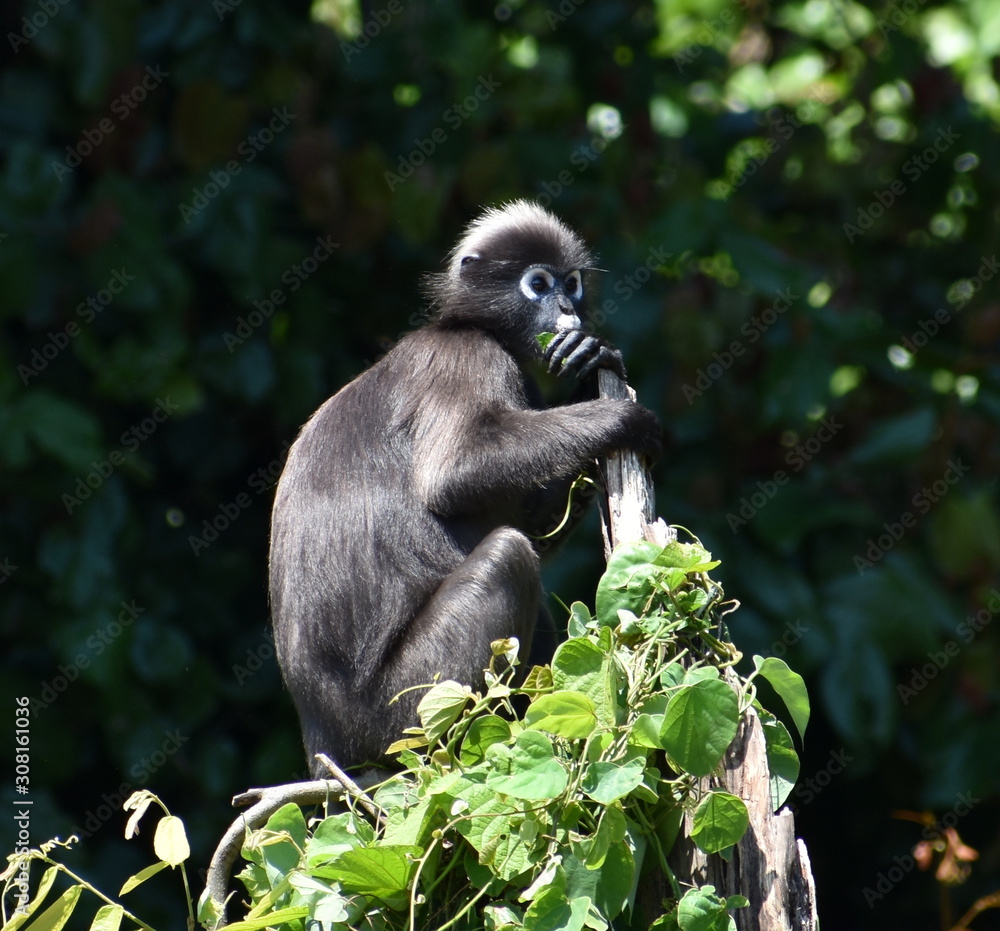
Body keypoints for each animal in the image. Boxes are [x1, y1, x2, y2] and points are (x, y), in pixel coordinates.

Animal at [269, 200, 661, 773]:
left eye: (571, 283)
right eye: (538, 284)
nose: (568, 309)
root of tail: (325, 745)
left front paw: (591, 369)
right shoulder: (466, 356)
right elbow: (453, 473)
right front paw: (618, 417)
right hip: (409, 704)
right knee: (508, 555)